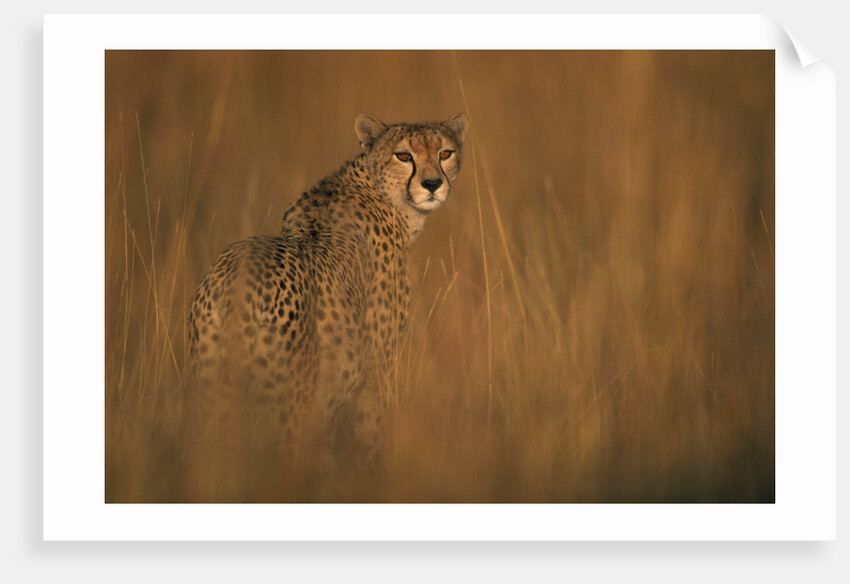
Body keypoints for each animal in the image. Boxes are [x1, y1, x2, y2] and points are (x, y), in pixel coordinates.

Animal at [183, 113, 469, 500]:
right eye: (403, 155)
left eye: (444, 152)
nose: (432, 184)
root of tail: (235, 279)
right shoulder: (375, 374)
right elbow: (369, 443)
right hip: (288, 409)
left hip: (214, 398)